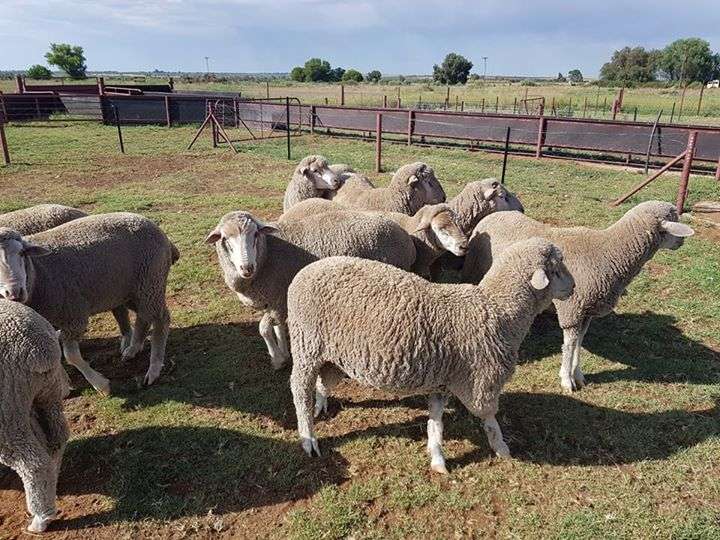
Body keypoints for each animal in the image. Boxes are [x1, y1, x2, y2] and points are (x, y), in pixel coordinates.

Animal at [0, 212, 180, 393]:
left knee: (161, 319)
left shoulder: (73, 315)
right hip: (133, 291)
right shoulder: (47, 324)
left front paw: (101, 385)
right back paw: (133, 349)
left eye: (22, 253)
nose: (15, 293)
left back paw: (154, 369)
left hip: (151, 282)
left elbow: (71, 356)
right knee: (144, 317)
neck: (38, 272)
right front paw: (65, 385)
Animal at [205, 210, 416, 370]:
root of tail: (405, 236)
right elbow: (278, 326)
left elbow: (264, 329)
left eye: (256, 234)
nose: (247, 267)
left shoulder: (278, 299)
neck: (267, 253)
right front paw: (284, 352)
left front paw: (277, 360)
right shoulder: (277, 300)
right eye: (225, 238)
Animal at [287, 238, 575, 473]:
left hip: (333, 356)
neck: (498, 310)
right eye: (556, 269)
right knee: (299, 390)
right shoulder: (481, 382)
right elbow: (489, 419)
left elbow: (436, 422)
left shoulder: (443, 381)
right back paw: (308, 437)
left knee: (323, 382)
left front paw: (437, 457)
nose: (573, 287)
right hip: (305, 345)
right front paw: (503, 449)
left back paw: (320, 406)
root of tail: (305, 271)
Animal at [461, 201, 695, 393]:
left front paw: (578, 374)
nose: (681, 244)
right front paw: (566, 379)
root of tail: (492, 215)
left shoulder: (586, 310)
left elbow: (580, 342)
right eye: (674, 221)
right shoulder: (572, 308)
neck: (609, 251)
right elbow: (570, 344)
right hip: (474, 269)